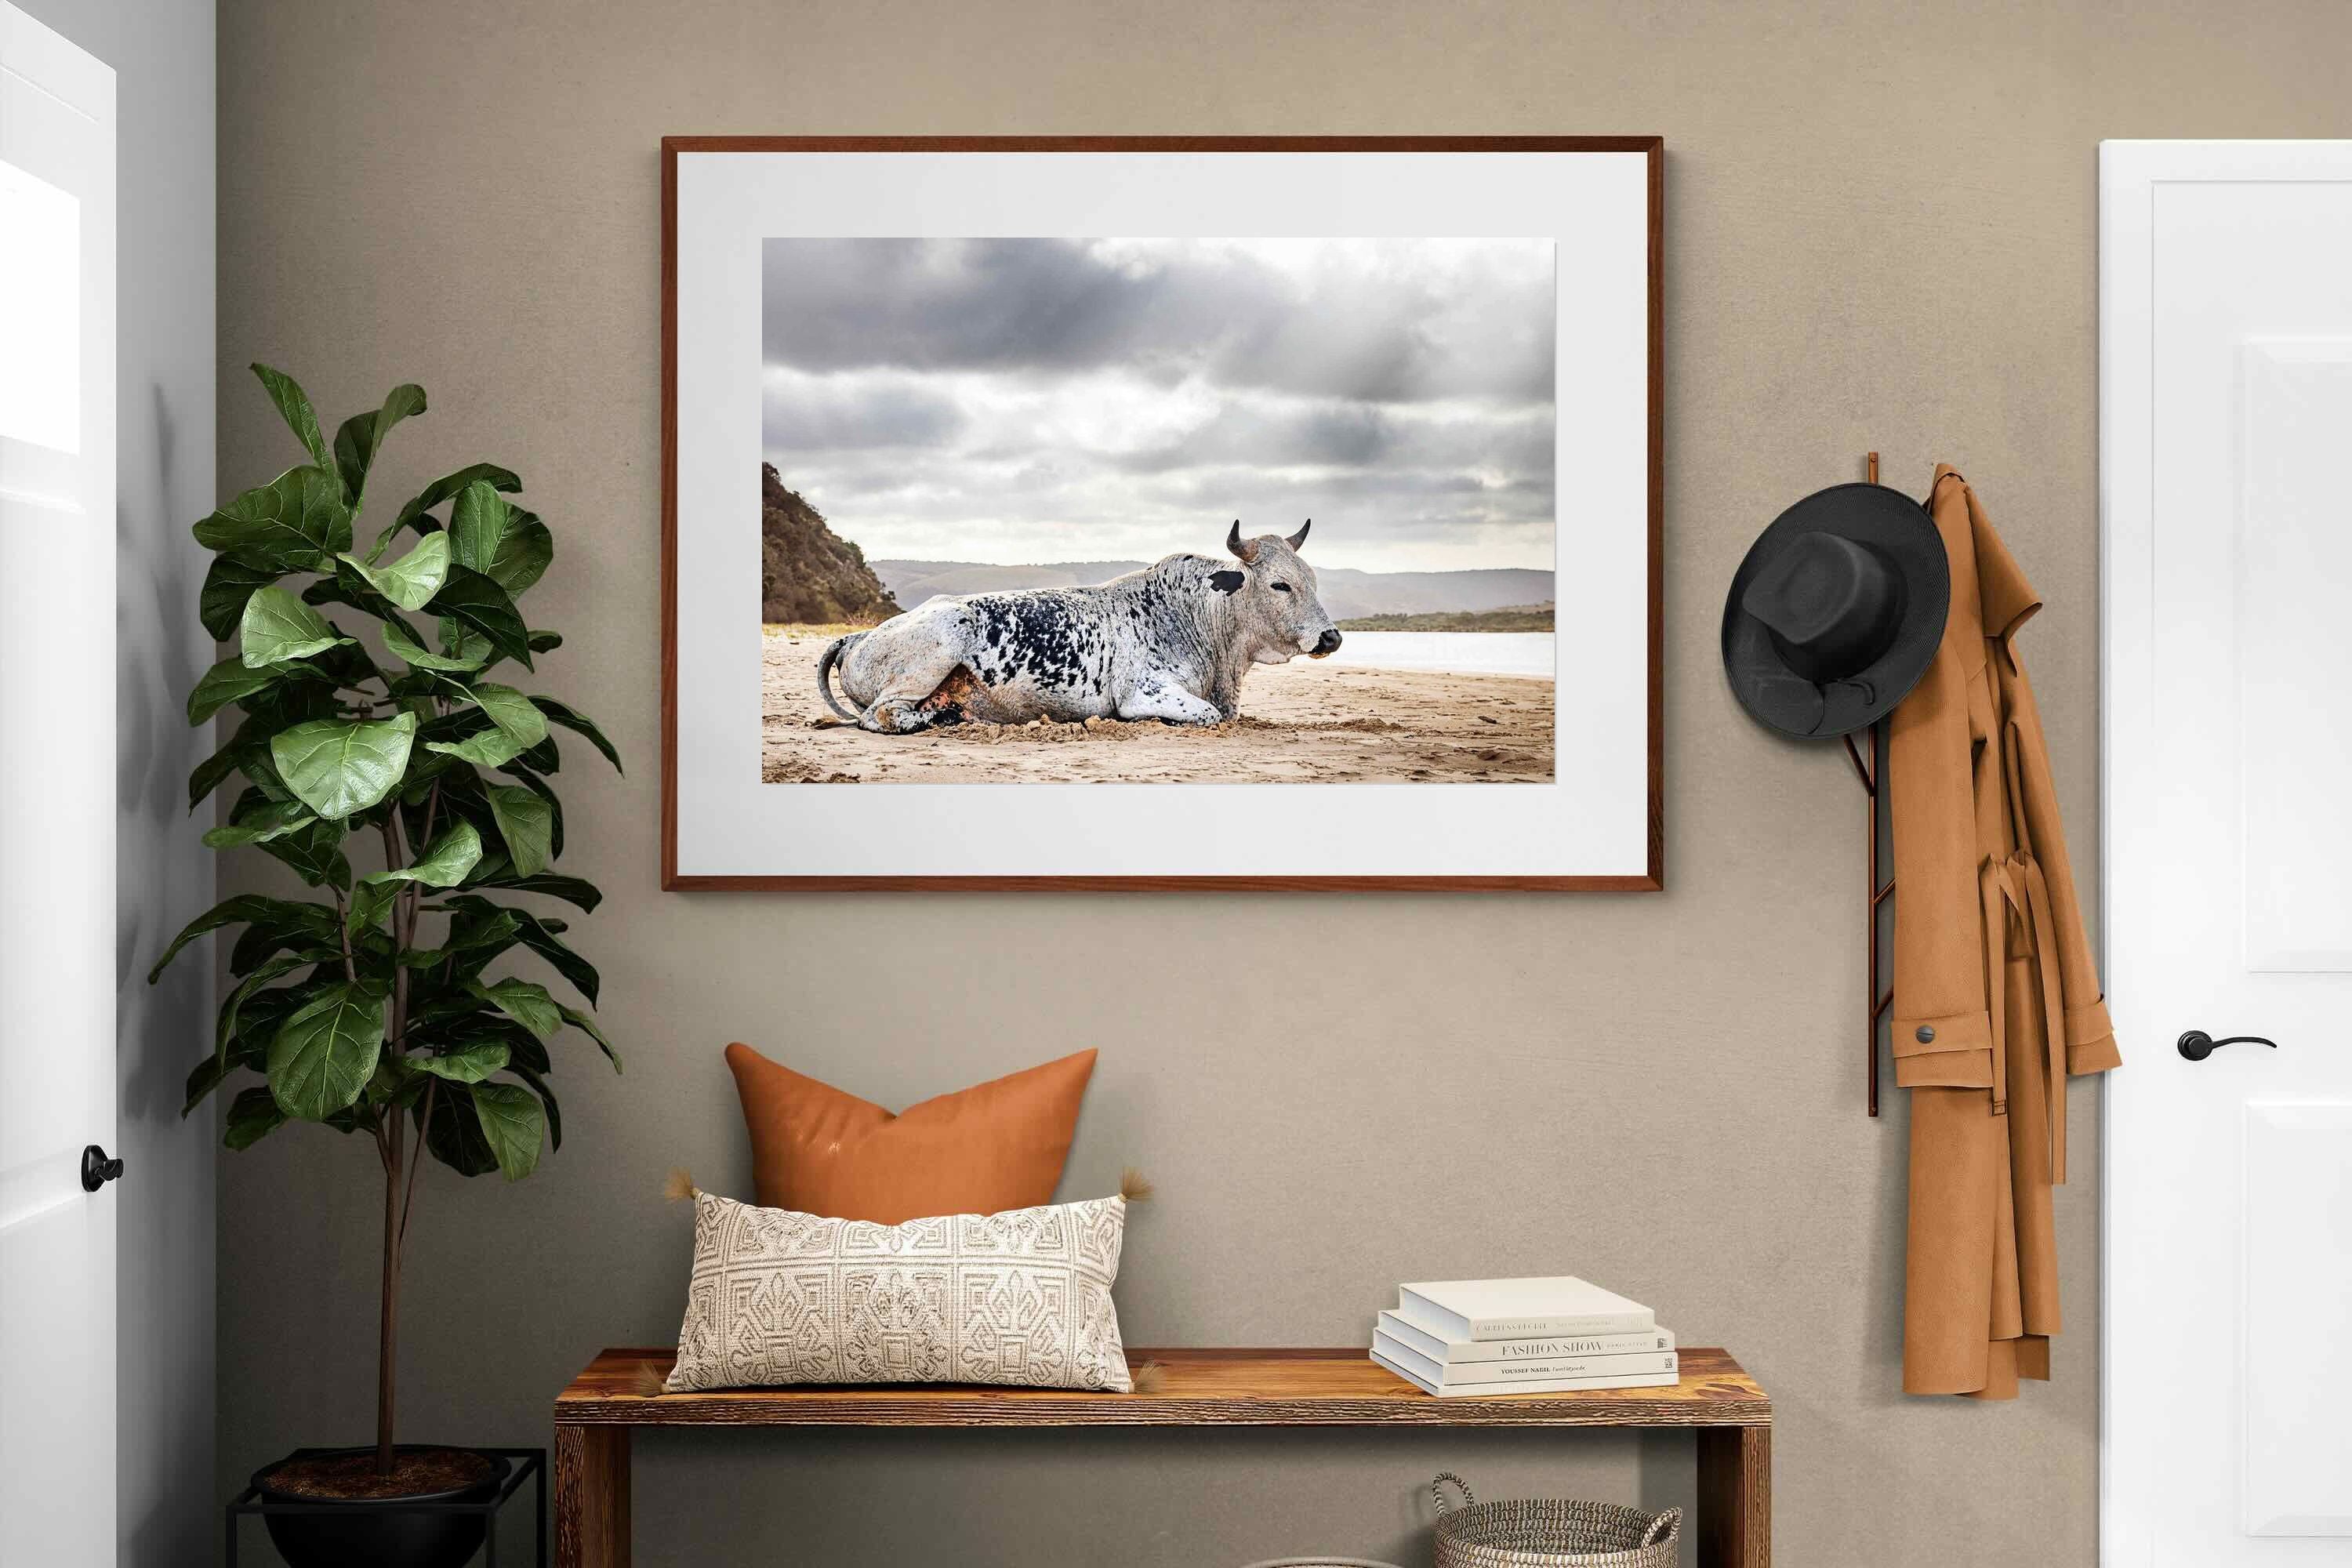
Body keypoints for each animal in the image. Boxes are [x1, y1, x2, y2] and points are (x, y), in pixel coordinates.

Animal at [816, 521, 1342, 733]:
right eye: (1279, 584)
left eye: (1312, 580)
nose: (1332, 637)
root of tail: (860, 635)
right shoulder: (1142, 691)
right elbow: (1208, 715)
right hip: (938, 647)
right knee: (879, 716)